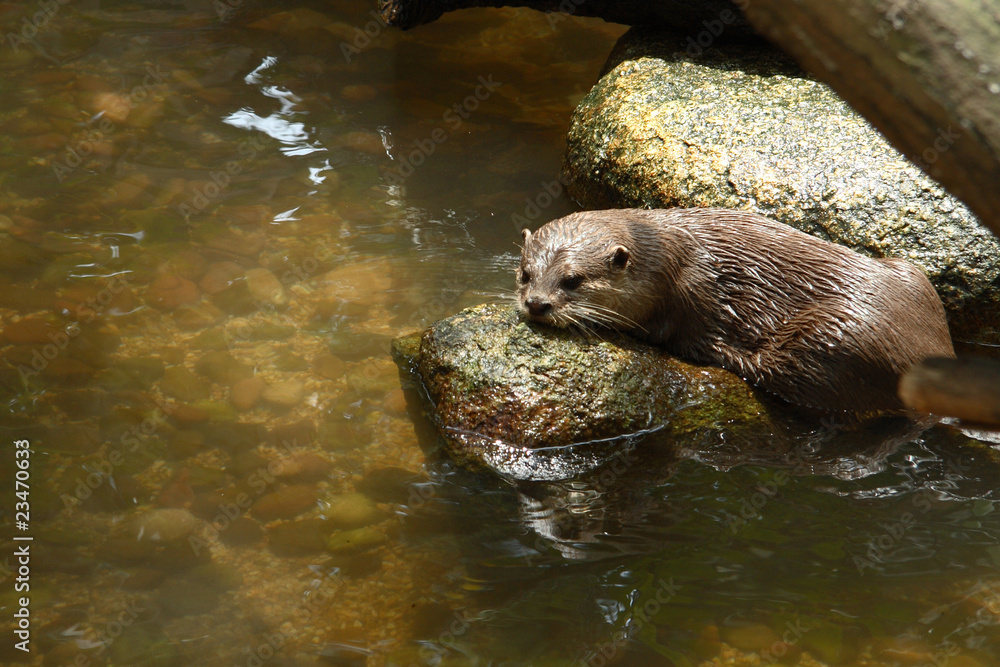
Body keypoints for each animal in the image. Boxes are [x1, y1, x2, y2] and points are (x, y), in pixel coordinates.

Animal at [517, 208, 955, 412]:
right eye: (525, 273)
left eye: (572, 280)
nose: (537, 303)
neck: (668, 261)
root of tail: (937, 351)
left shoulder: (693, 292)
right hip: (914, 275)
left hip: (837, 334)